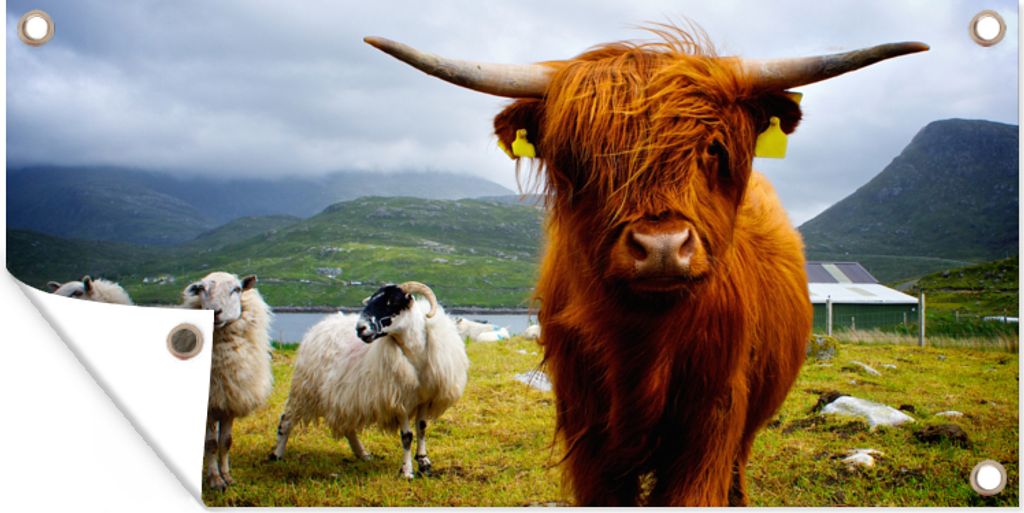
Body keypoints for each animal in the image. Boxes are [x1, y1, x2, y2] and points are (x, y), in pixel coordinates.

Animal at [182, 271, 273, 491]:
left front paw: (227, 476)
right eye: (201, 288)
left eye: (237, 289)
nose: (215, 311)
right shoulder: (210, 405)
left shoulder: (230, 402)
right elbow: (211, 444)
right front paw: (215, 480)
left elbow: (226, 442)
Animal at [269, 281, 469, 479]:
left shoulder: (425, 399)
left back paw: (363, 454)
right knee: (286, 420)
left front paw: (424, 464)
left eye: (391, 301)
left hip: (343, 397)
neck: (415, 355)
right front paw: (407, 471)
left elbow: (422, 429)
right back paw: (277, 454)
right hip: (304, 389)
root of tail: (321, 325)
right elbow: (407, 436)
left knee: (348, 428)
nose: (360, 328)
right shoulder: (400, 399)